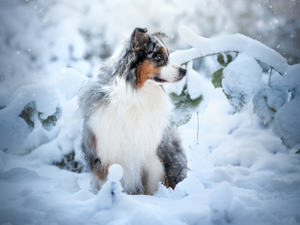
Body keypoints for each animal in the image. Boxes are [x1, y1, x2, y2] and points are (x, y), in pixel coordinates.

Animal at [78, 27, 189, 194]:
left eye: (168, 55)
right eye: (158, 56)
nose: (184, 70)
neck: (135, 96)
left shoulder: (152, 157)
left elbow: (152, 188)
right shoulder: (105, 157)